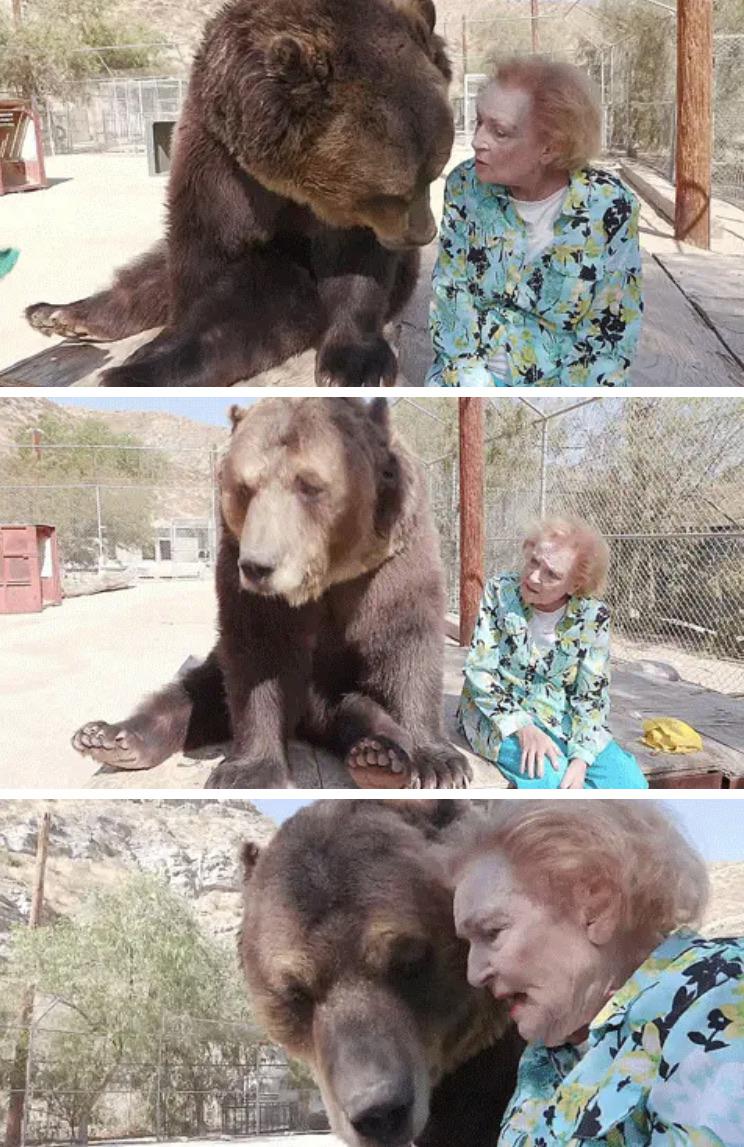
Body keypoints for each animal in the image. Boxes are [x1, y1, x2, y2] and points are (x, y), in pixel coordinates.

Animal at [26, 0, 454, 389]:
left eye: (434, 173)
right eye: (394, 193)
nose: (423, 234)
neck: (288, 183)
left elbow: (355, 265)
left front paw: (354, 365)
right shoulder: (217, 159)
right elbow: (207, 260)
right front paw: (155, 356)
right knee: (153, 276)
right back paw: (61, 316)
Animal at [72, 398, 471, 790]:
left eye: (310, 485)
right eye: (244, 488)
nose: (259, 566)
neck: (328, 576)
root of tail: (308, 721)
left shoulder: (393, 561)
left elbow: (407, 645)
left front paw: (439, 764)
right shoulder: (244, 575)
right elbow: (258, 654)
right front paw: (249, 771)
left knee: (357, 708)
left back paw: (380, 757)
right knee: (192, 693)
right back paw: (111, 738)